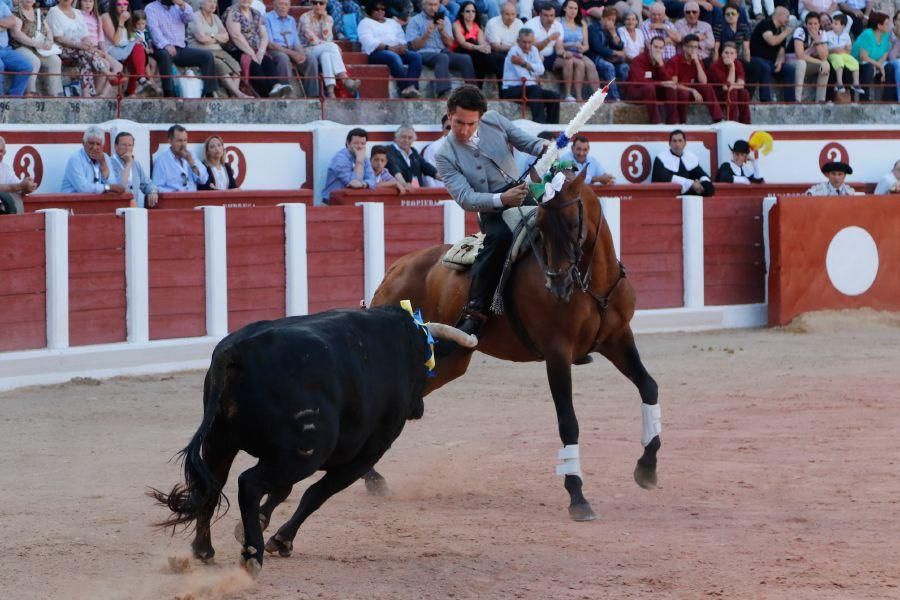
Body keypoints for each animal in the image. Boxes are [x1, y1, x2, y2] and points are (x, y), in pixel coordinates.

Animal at [149, 308, 472, 576]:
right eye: (425, 365)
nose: (418, 408)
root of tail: (236, 352)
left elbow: (284, 491)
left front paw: (258, 525)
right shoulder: (365, 454)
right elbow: (316, 494)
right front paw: (280, 540)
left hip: (222, 443)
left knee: (212, 486)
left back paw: (204, 550)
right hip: (303, 454)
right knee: (249, 484)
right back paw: (252, 555)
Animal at [368, 168, 660, 520]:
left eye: (572, 223)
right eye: (542, 227)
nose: (557, 284)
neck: (594, 285)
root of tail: (395, 269)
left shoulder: (618, 338)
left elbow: (649, 387)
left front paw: (647, 468)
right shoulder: (557, 353)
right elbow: (568, 423)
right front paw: (577, 496)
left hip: (452, 361)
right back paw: (369, 476)